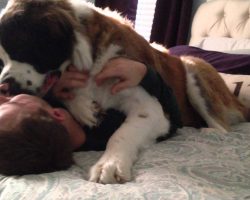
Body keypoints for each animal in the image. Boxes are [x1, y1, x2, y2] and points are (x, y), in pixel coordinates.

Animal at [0, 0, 248, 184]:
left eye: (21, 49)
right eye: (2, 59)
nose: (4, 86)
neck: (91, 61)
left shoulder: (152, 109)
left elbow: (122, 133)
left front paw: (109, 165)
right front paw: (83, 107)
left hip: (192, 67)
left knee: (222, 126)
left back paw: (209, 132)